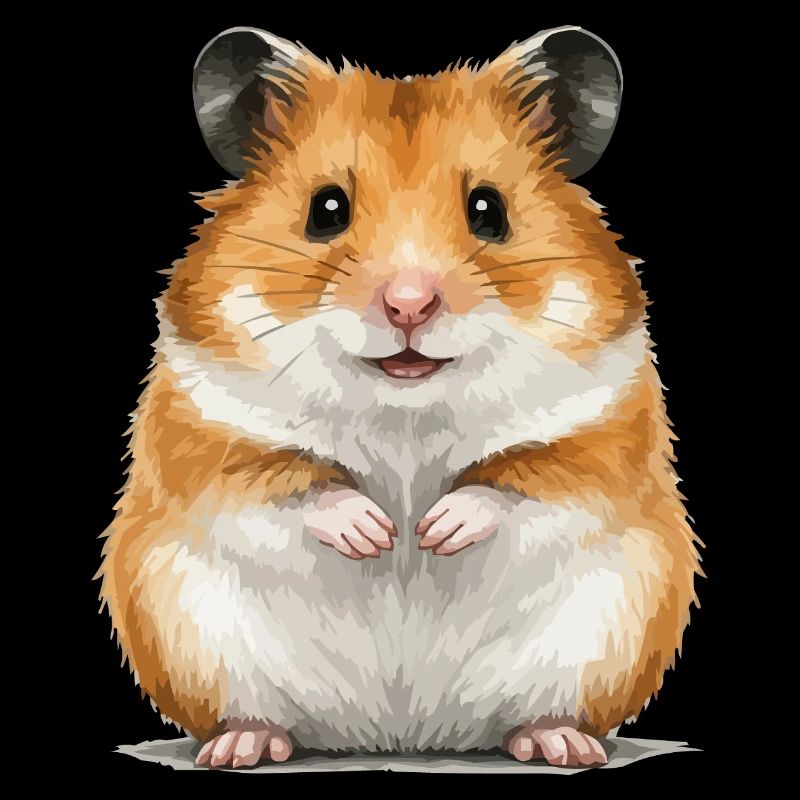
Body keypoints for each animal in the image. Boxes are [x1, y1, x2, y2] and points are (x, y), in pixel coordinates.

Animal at [98, 25, 701, 769]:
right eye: (326, 209)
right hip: (192, 638)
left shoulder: (602, 431)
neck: (405, 408)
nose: (408, 305)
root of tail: (402, 735)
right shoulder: (205, 427)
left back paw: (560, 744)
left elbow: (524, 479)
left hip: (607, 634)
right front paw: (378, 534)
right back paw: (240, 747)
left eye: (489, 210)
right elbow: (284, 480)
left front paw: (432, 531)